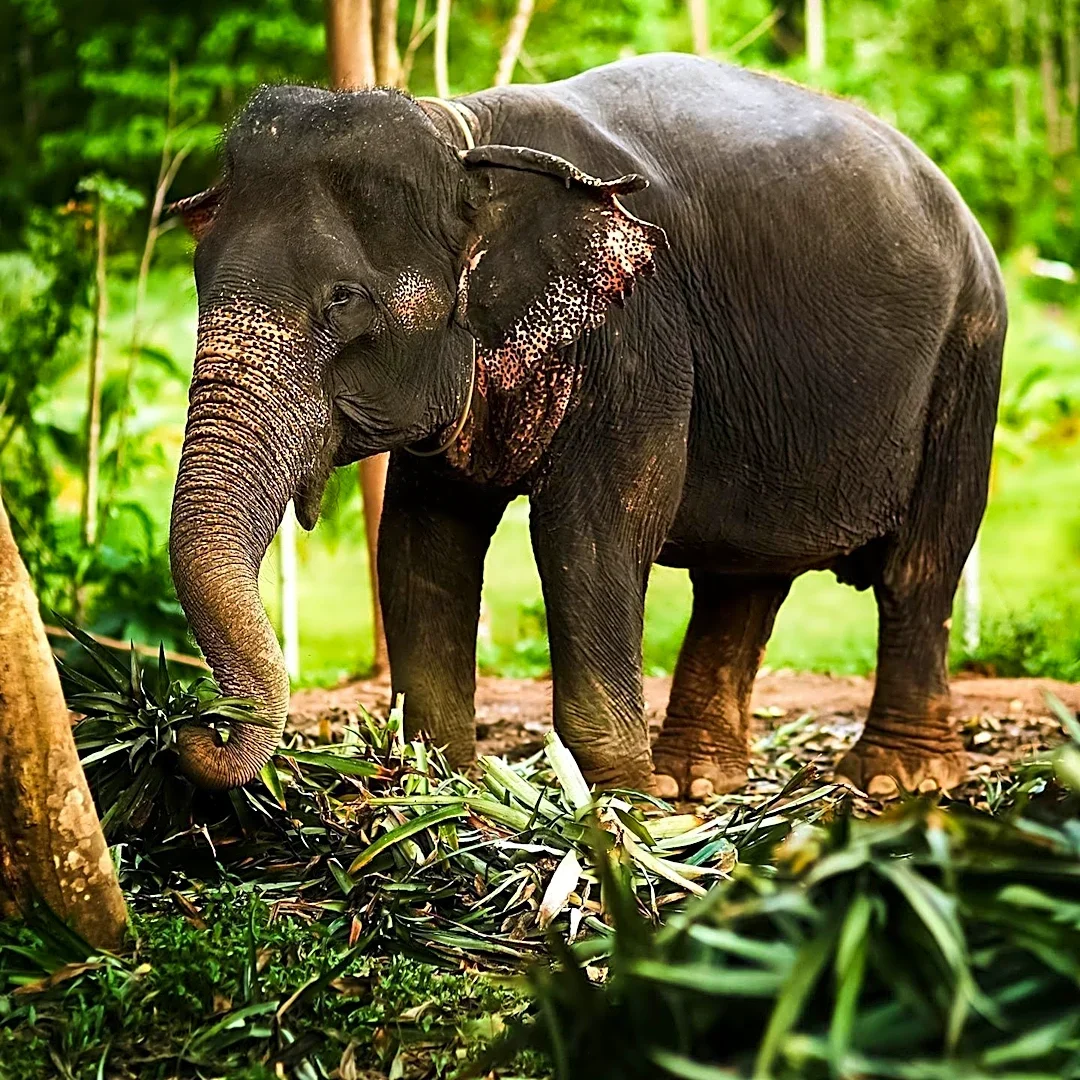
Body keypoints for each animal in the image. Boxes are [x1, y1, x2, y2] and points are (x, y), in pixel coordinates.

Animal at [168, 53, 1005, 798]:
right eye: (199, 279)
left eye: (343, 300)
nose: (198, 728)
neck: (463, 133)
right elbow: (420, 538)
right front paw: (444, 790)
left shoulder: (637, 331)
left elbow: (594, 530)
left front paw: (621, 806)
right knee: (742, 580)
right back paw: (698, 782)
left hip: (969, 358)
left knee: (918, 569)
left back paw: (897, 778)